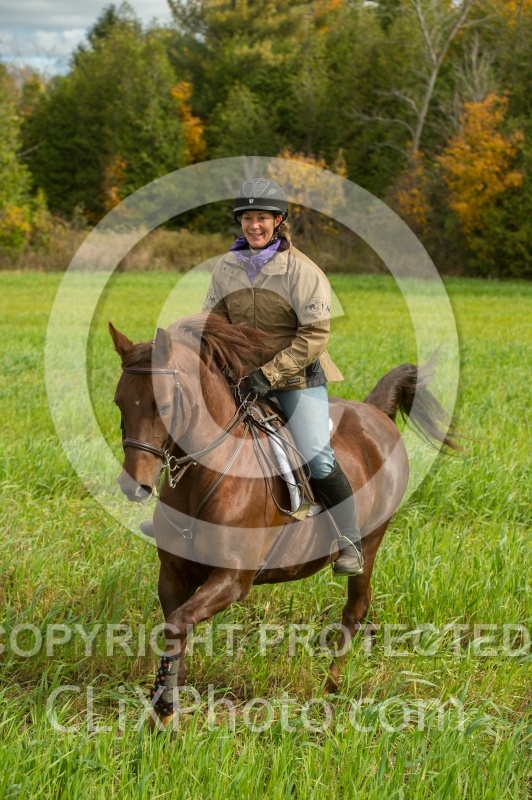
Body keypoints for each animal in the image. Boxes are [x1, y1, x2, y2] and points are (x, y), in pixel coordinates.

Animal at [110, 313, 457, 727]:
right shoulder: (174, 575)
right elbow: (176, 628)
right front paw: (167, 707)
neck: (207, 475)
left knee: (355, 607)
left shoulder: (233, 579)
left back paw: (331, 687)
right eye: (118, 402)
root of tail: (374, 413)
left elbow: (180, 622)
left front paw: (163, 709)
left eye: (162, 404)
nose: (134, 485)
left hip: (371, 542)